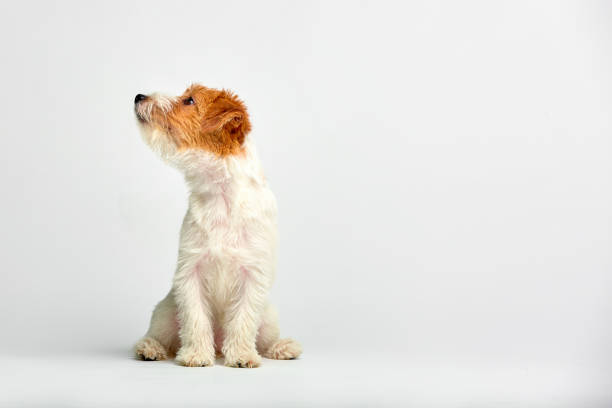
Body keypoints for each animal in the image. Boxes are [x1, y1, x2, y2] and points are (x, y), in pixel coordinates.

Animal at [134, 84, 304, 368]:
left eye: (189, 100)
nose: (139, 97)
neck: (221, 196)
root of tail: (219, 346)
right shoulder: (190, 271)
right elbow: (196, 318)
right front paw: (196, 355)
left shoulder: (252, 275)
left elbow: (244, 319)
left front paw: (242, 355)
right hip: (166, 312)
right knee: (162, 336)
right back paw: (150, 348)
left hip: (269, 315)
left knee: (265, 340)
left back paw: (282, 347)